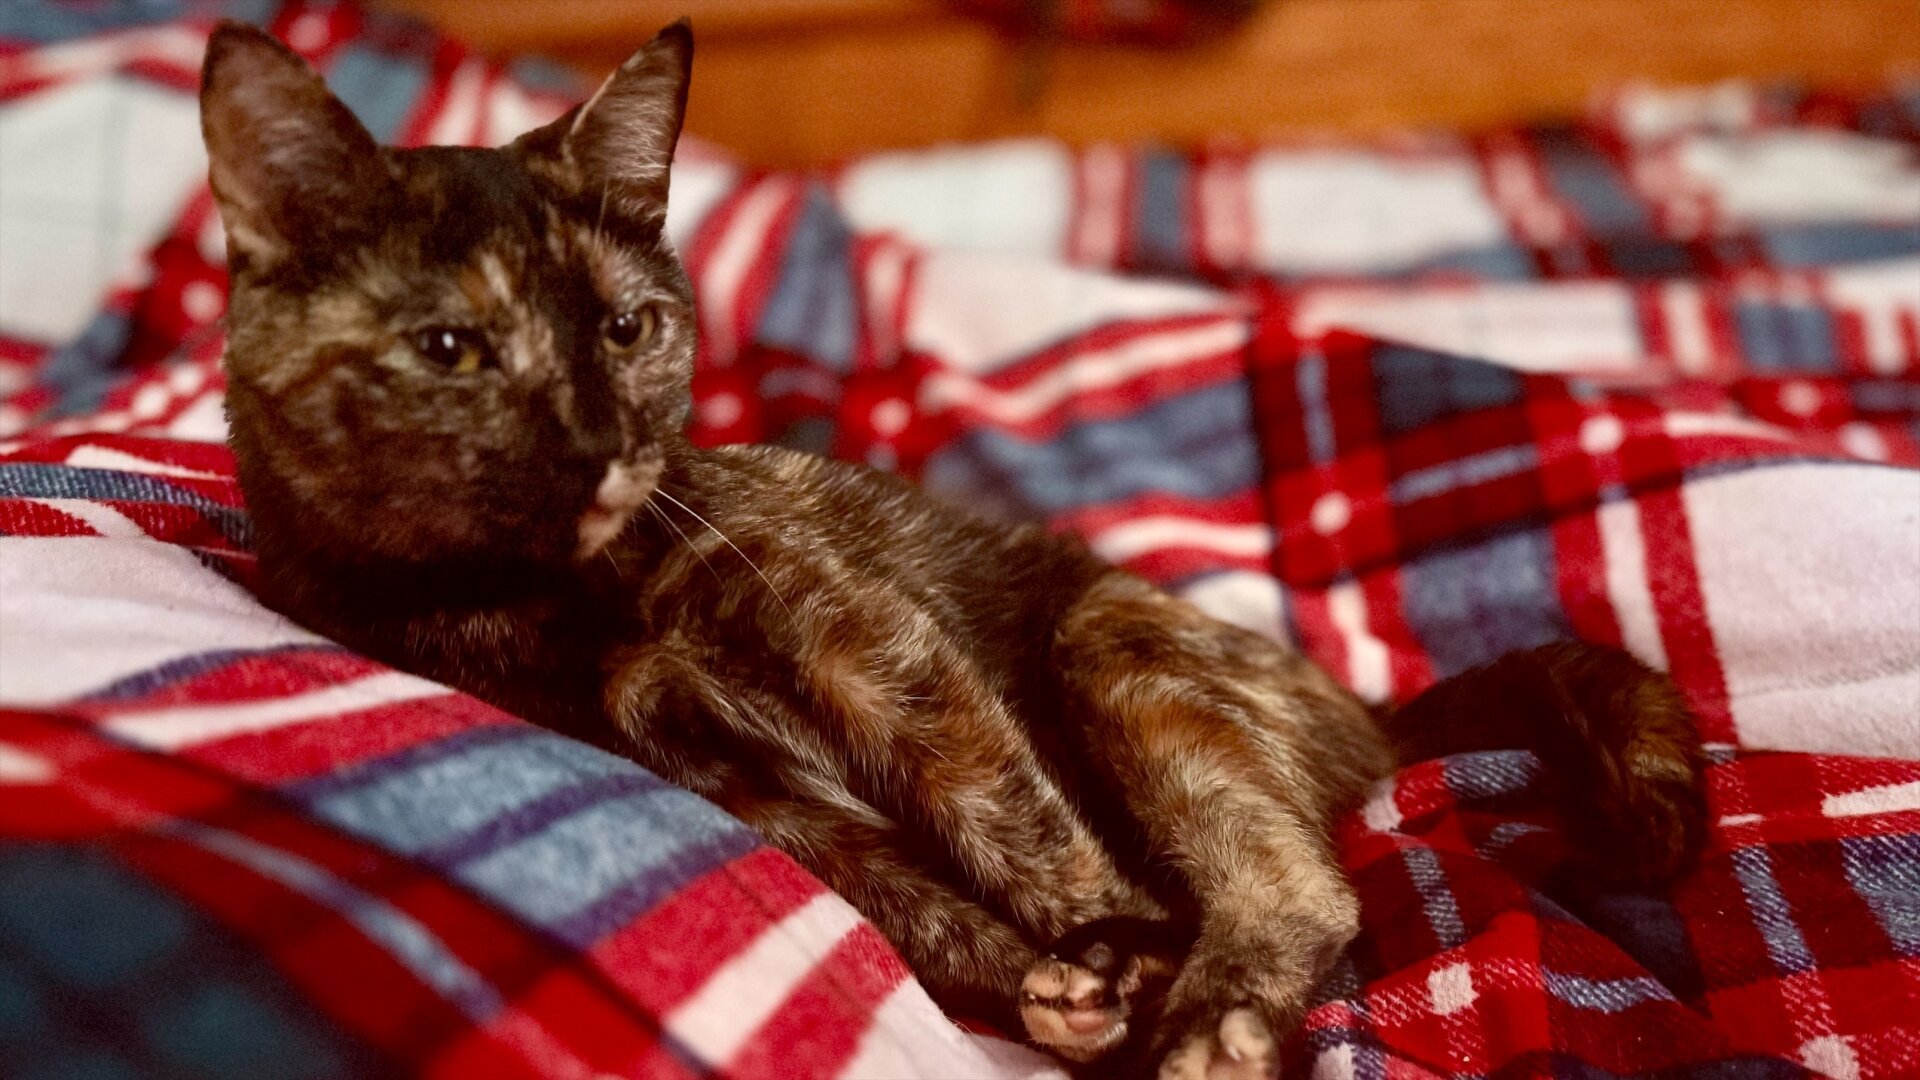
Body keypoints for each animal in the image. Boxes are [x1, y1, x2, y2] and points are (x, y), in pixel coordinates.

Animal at [202, 21, 1704, 1068]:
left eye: (627, 329)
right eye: (453, 349)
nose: (600, 441)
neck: (557, 601)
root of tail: (1367, 710)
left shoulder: (861, 630)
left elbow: (1004, 814)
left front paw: (1117, 951)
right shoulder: (713, 772)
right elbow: (897, 896)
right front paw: (1054, 995)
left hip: (1111, 640)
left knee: (1301, 891)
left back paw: (1210, 1019)